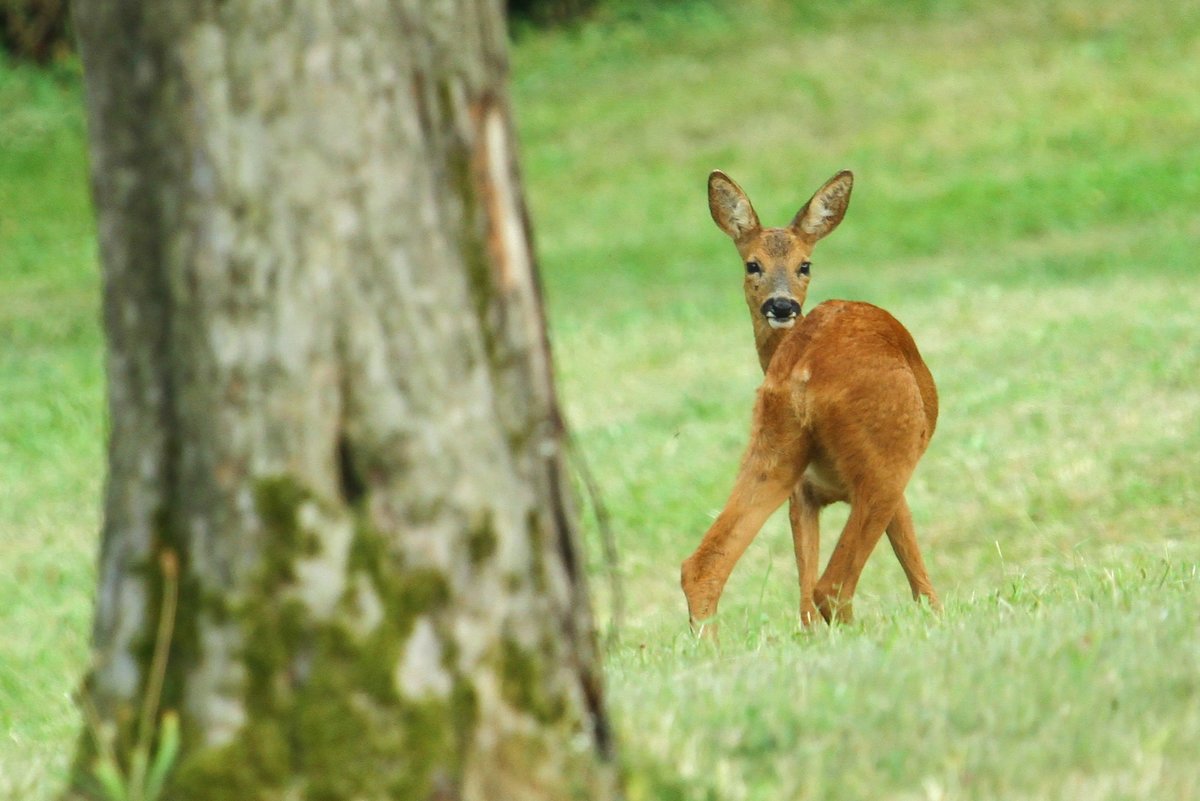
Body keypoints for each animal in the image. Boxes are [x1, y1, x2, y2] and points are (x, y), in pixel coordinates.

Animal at [681, 170, 940, 633]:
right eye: (753, 264)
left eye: (805, 264)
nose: (782, 305)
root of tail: (800, 368)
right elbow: (914, 567)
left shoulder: (802, 493)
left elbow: (802, 601)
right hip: (887, 449)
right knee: (833, 587)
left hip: (773, 448)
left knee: (702, 567)